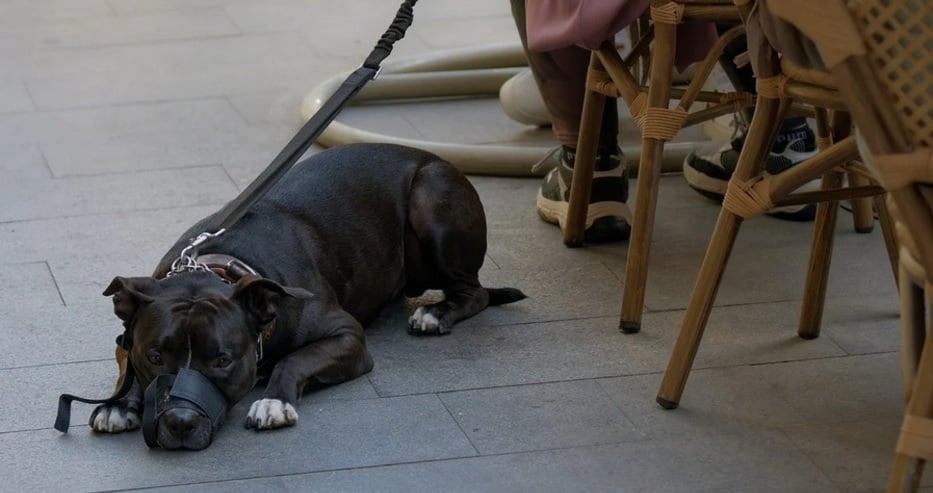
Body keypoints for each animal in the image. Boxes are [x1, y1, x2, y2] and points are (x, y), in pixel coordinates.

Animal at [88, 143, 526, 450]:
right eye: (155, 357)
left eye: (223, 361)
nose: (179, 421)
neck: (220, 264)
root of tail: (436, 158)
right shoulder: (129, 334)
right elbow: (126, 365)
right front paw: (119, 403)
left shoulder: (347, 336)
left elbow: (294, 360)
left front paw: (274, 402)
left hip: (432, 196)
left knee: (473, 292)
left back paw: (436, 314)